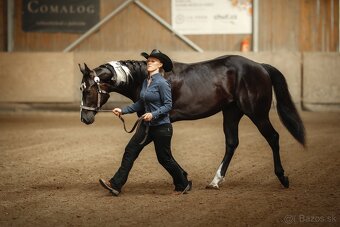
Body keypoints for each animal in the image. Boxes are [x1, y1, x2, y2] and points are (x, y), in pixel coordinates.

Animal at [79, 55, 306, 190]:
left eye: (87, 90)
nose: (85, 118)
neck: (144, 78)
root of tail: (261, 67)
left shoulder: (150, 121)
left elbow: (137, 150)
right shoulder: (152, 122)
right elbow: (156, 152)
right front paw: (184, 177)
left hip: (257, 113)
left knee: (273, 137)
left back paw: (282, 177)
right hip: (231, 112)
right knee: (232, 143)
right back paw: (215, 181)